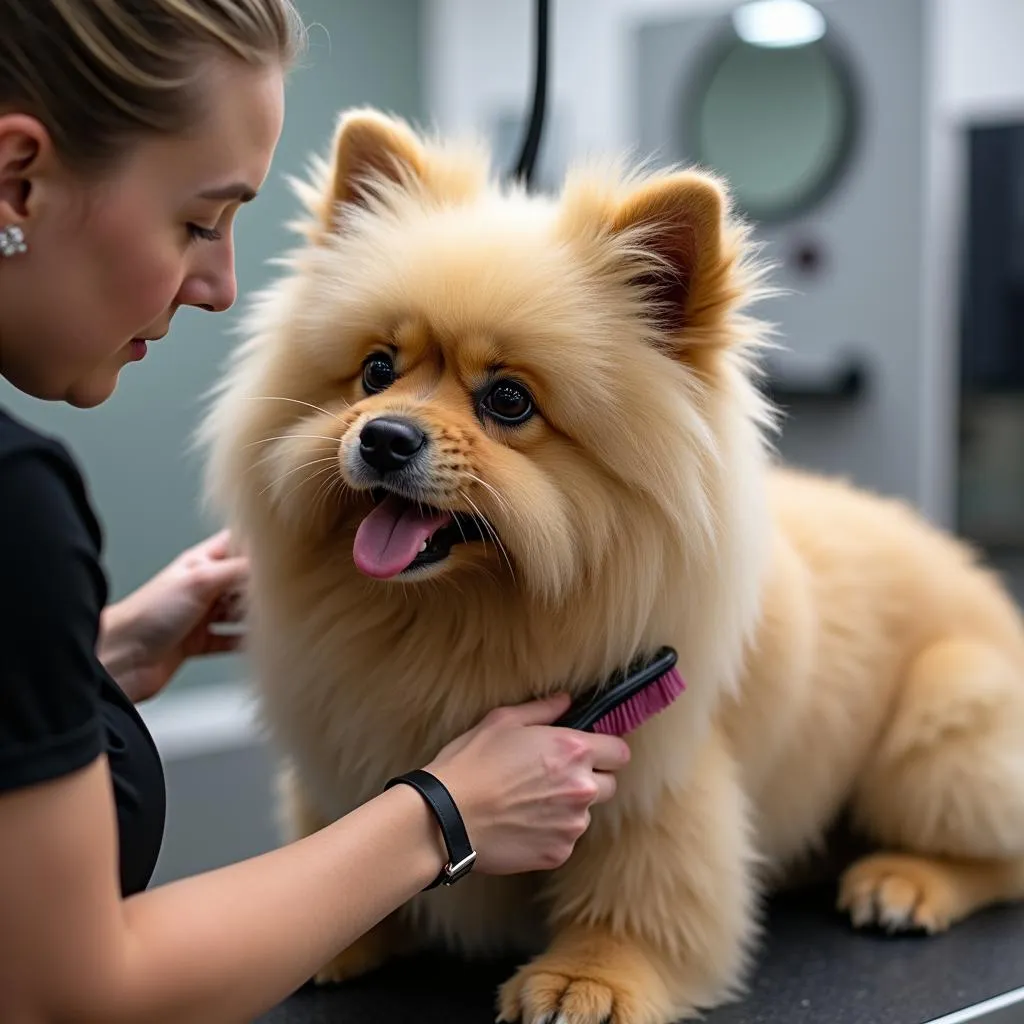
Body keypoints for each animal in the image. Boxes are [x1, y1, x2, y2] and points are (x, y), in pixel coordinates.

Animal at [197, 108, 1024, 1019]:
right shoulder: (343, 742)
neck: (456, 618)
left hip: (940, 722)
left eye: (508, 399)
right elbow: (338, 836)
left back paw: (907, 881)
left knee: (1001, 855)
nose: (382, 436)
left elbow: (645, 892)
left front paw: (591, 976)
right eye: (376, 371)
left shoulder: (651, 773)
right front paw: (343, 933)